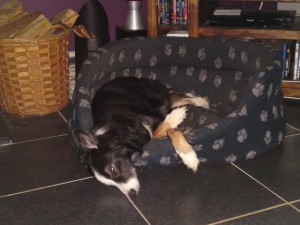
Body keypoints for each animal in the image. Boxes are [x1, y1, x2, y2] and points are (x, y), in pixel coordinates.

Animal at [72, 77, 209, 197]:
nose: (132, 194)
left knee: (174, 96)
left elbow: (168, 129)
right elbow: (159, 132)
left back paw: (200, 101)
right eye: (109, 183)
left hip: (153, 96)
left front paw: (189, 157)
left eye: (112, 169)